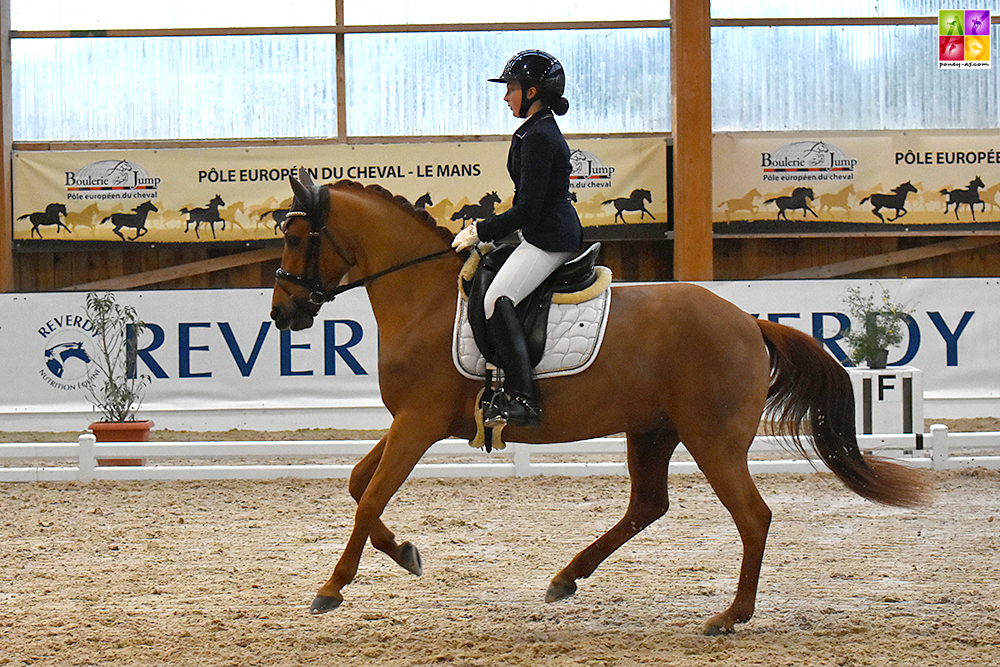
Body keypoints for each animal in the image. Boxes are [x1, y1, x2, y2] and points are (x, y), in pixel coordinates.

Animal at [270, 174, 932, 636]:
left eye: (299, 238)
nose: (282, 314)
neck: (424, 298)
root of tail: (748, 321)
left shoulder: (420, 422)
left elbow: (369, 497)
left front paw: (332, 587)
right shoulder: (414, 420)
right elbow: (358, 484)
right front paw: (406, 554)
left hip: (712, 440)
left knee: (752, 516)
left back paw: (730, 616)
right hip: (653, 430)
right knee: (648, 505)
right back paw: (566, 578)